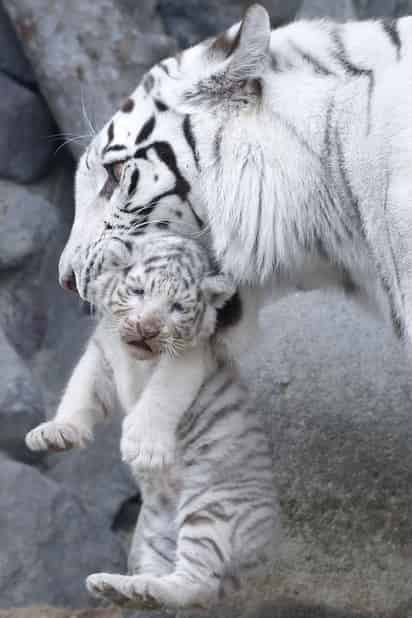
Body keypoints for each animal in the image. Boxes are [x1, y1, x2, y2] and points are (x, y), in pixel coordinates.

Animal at [25, 232, 278, 608]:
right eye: (138, 291)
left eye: (177, 308)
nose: (147, 327)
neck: (137, 358)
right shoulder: (102, 350)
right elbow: (80, 388)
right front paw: (57, 432)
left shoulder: (192, 356)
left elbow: (162, 393)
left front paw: (144, 447)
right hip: (157, 524)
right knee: (164, 572)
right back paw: (121, 587)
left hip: (213, 507)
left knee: (197, 584)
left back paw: (139, 589)